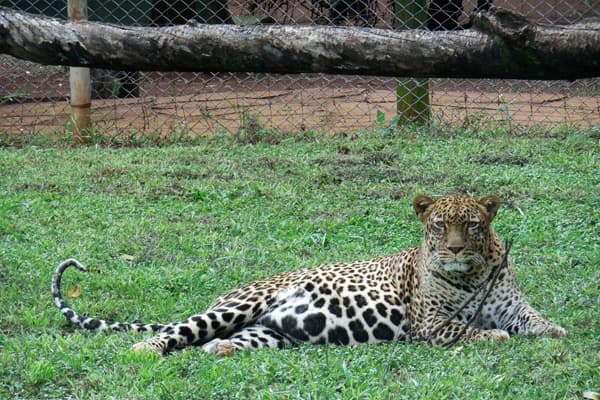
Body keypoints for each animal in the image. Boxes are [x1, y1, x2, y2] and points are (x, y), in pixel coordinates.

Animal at [52, 192, 568, 354]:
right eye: (440, 225)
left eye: (473, 224)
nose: (456, 248)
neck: (472, 275)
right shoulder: (429, 324)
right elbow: (466, 329)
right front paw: (493, 336)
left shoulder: (512, 305)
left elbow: (533, 318)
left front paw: (555, 329)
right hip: (238, 307)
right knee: (175, 332)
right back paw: (144, 350)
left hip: (267, 331)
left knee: (224, 341)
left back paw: (219, 350)